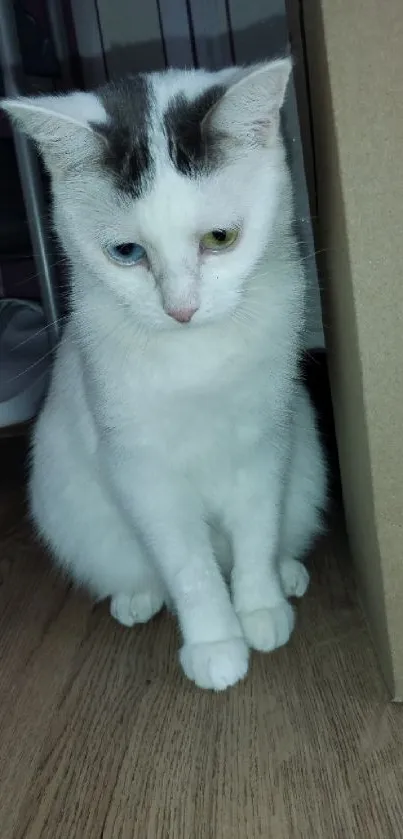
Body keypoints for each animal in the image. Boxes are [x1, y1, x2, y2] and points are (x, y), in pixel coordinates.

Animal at [1, 57, 326, 688]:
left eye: (221, 238)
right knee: (139, 569)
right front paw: (216, 642)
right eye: (126, 252)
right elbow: (188, 566)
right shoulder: (141, 470)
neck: (195, 357)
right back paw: (137, 597)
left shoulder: (265, 441)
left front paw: (260, 606)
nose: (181, 309)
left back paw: (288, 573)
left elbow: (256, 528)